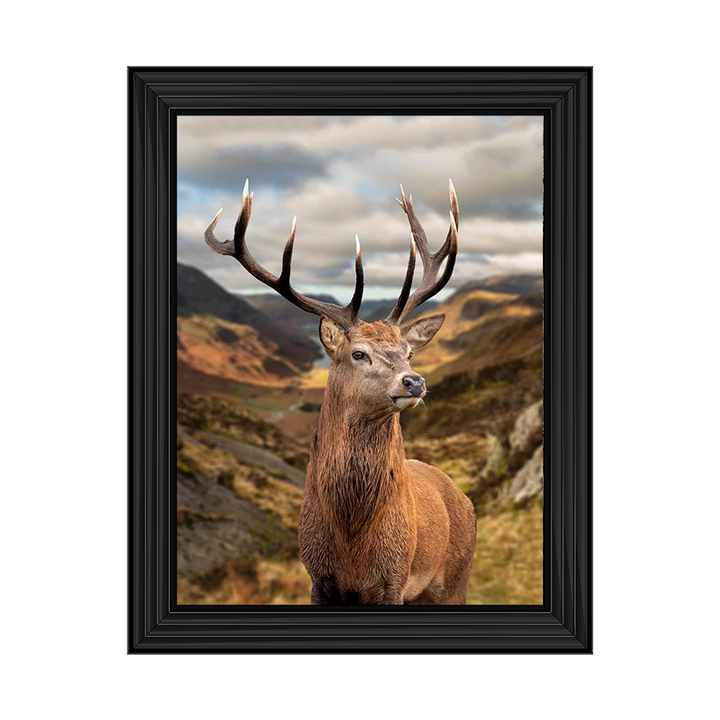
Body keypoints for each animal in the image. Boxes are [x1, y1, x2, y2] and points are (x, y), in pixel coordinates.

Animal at [204, 179, 476, 605]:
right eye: (358, 353)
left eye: (409, 352)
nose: (414, 381)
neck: (350, 539)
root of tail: (462, 496)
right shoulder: (318, 577)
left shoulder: (392, 579)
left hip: (455, 579)